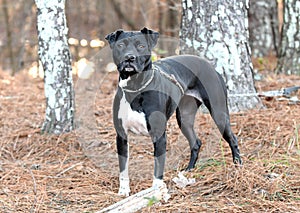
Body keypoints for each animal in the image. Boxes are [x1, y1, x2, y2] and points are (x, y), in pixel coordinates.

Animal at [105, 27, 241, 196]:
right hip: (184, 118)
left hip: (219, 112)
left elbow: (158, 167)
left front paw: (157, 191)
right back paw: (189, 170)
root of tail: (208, 64)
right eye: (121, 45)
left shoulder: (159, 136)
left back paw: (238, 166)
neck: (135, 88)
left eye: (141, 46)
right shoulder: (121, 136)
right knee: (195, 142)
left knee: (232, 139)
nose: (129, 57)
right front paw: (123, 192)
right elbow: (123, 167)